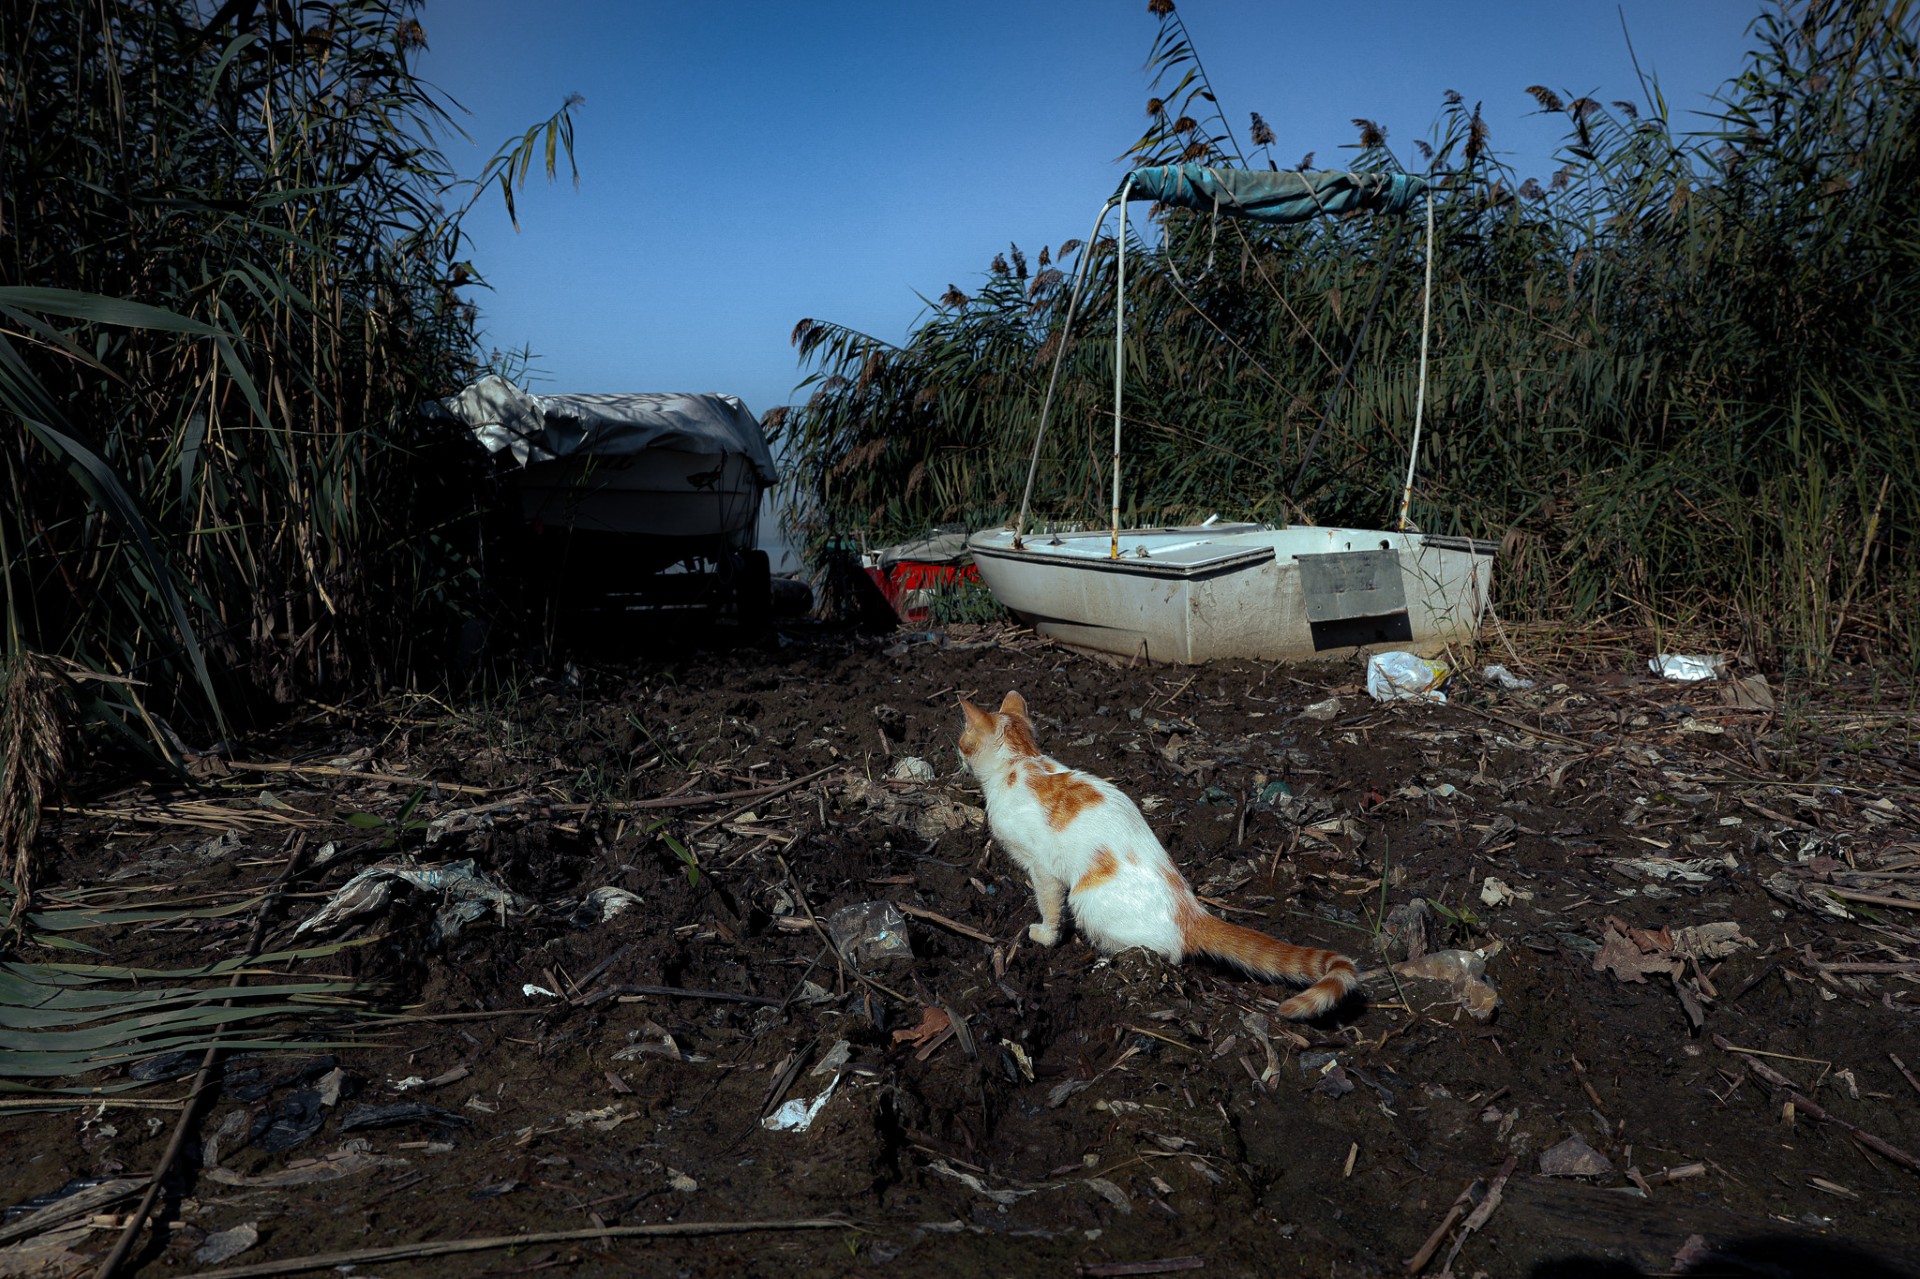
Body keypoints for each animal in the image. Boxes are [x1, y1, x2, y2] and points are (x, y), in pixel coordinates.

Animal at [956, 687, 1351, 1013]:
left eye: (962, 739)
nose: (955, 753)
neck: (1020, 761)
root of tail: (1191, 911)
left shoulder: (1043, 869)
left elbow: (1050, 909)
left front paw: (1043, 936)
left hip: (1086, 898)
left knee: (1165, 953)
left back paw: (1111, 961)